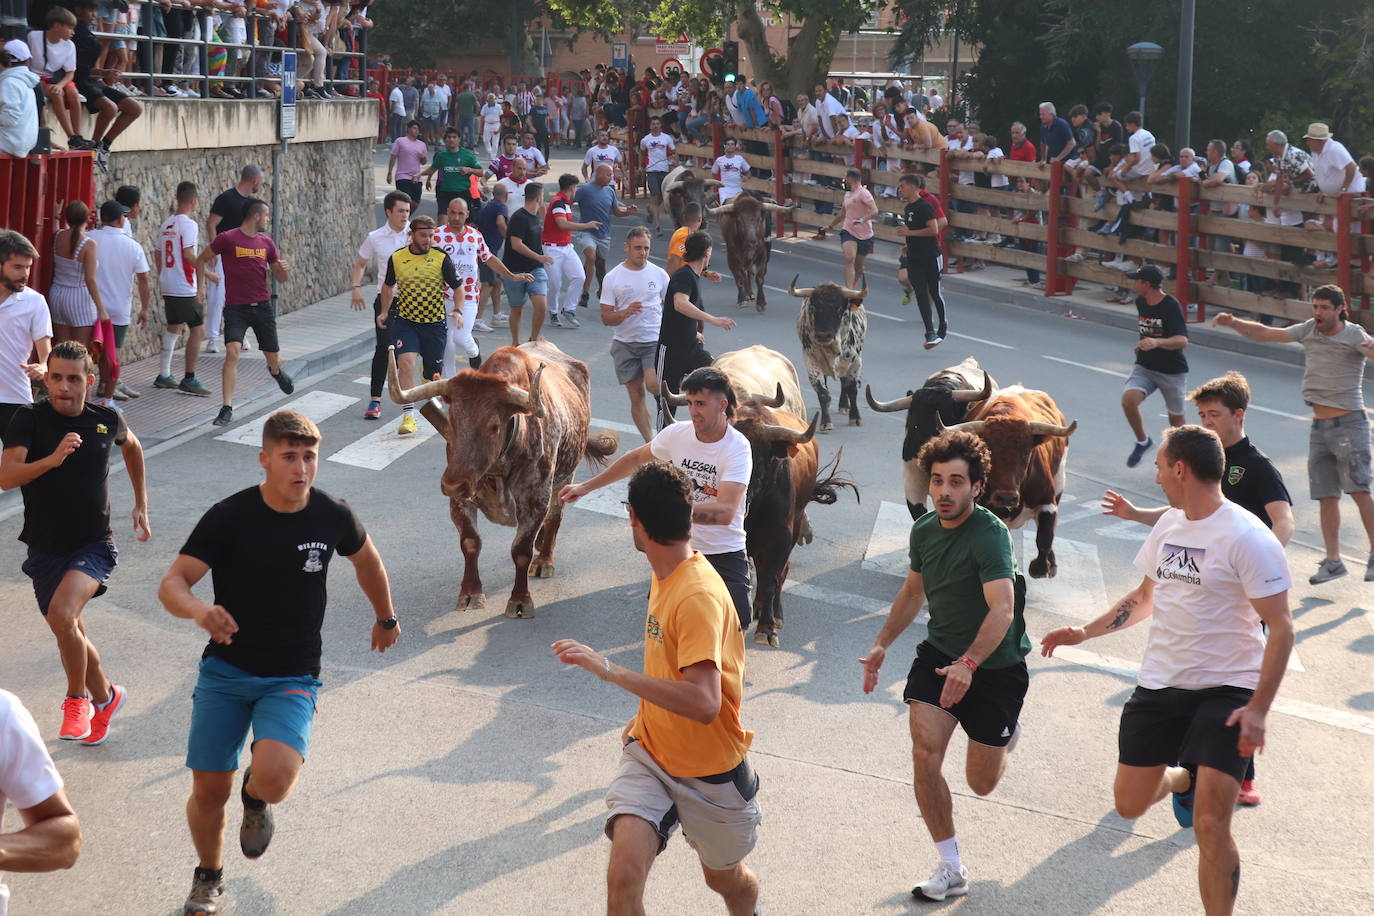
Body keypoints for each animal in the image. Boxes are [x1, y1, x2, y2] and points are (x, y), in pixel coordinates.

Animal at [384, 340, 615, 620]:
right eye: (451, 420)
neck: (498, 468)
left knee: (555, 516)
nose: (452, 484)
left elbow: (521, 551)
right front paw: (470, 593)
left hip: (564, 477)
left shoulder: (535, 500)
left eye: (493, 426)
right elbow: (470, 542)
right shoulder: (461, 500)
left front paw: (520, 599)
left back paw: (545, 559)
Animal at [791, 276, 862, 431]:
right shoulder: (811, 361)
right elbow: (823, 393)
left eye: (840, 309)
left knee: (844, 382)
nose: (823, 335)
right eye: (813, 308)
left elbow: (852, 389)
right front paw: (825, 422)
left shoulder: (855, 362)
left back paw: (844, 406)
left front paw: (855, 418)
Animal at [939, 387, 1077, 579]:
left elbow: (1045, 536)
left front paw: (1040, 567)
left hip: (1059, 482)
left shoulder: (1047, 500)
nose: (1006, 497)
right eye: (988, 451)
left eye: (1026, 452)